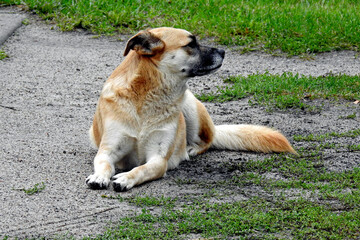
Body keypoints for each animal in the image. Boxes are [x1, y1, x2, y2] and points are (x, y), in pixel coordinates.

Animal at [85, 26, 296, 191]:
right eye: (191, 44)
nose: (223, 51)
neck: (146, 97)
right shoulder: (107, 150)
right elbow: (104, 164)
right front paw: (99, 177)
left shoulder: (158, 159)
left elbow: (141, 169)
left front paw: (126, 178)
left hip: (190, 107)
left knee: (206, 140)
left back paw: (191, 148)